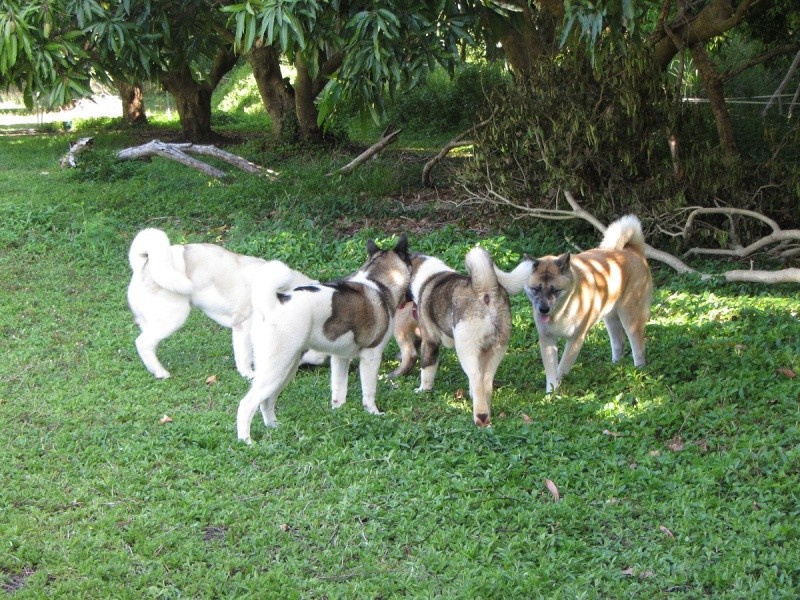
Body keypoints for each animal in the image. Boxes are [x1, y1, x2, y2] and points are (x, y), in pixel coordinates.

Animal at [126, 227, 324, 378]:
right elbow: (244, 356)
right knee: (142, 342)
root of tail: (145, 264)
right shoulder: (243, 327)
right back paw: (160, 372)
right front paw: (248, 374)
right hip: (174, 316)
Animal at [236, 234, 412, 446]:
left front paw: (339, 413)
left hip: (287, 368)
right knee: (247, 404)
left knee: (267, 400)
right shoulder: (371, 357)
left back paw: (274, 426)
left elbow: (338, 389)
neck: (378, 282)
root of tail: (274, 302)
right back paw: (246, 440)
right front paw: (373, 413)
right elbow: (369, 391)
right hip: (276, 367)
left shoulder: (340, 358)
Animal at [410, 247, 536, 426]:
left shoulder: (430, 341)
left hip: (465, 349)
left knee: (476, 378)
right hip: (495, 349)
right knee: (486, 380)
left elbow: (427, 369)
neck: (430, 275)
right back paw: (487, 414)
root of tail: (484, 290)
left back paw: (480, 416)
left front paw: (423, 390)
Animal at [520, 216, 652, 394]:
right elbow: (551, 369)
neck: (561, 311)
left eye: (555, 290)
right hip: (610, 317)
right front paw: (551, 392)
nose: (543, 309)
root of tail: (633, 250)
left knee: (637, 345)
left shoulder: (576, 339)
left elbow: (562, 367)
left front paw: (557, 390)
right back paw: (614, 366)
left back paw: (638, 370)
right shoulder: (547, 339)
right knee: (618, 343)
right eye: (535, 289)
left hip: (630, 316)